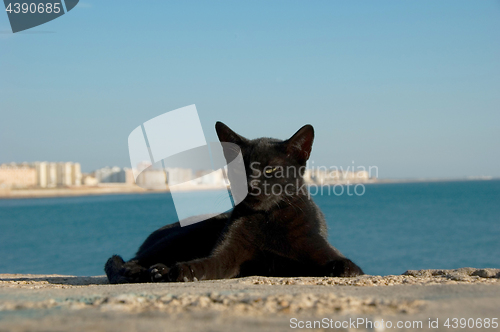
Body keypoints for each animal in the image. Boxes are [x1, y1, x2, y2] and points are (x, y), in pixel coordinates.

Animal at [105, 122, 364, 282]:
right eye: (239, 169)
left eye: (270, 170)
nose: (251, 184)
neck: (267, 219)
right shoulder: (228, 255)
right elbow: (208, 263)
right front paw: (185, 270)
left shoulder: (314, 248)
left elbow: (339, 262)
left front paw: (344, 268)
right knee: (128, 260)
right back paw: (144, 270)